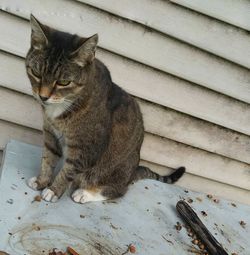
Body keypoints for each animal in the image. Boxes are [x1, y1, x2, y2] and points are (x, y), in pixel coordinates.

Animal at [25, 14, 186, 204]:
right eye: (36, 73)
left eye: (63, 82)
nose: (43, 96)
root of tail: (133, 172)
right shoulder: (51, 134)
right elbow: (47, 158)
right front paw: (41, 181)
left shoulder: (86, 149)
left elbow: (68, 170)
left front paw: (53, 190)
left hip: (113, 171)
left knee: (117, 190)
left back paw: (85, 193)